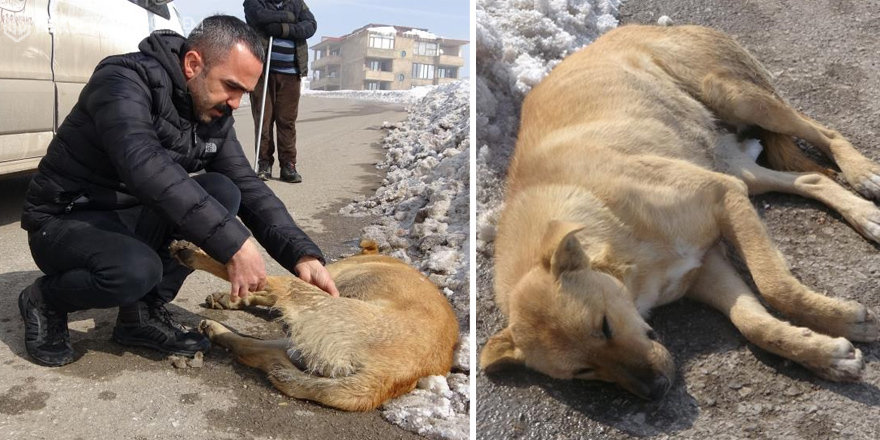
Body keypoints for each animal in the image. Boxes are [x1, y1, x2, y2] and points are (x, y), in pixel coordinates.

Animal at [173, 239, 460, 410]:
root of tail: (389, 378)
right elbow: (262, 296)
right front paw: (229, 299)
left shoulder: (322, 280)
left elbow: (262, 291)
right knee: (255, 349)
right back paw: (216, 331)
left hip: (307, 296)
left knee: (252, 278)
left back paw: (191, 254)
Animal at [482, 24, 880, 400]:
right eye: (583, 372)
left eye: (605, 325)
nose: (656, 391)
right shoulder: (705, 266)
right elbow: (753, 324)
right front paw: (825, 355)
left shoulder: (723, 196)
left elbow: (775, 286)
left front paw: (845, 321)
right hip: (735, 169)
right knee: (812, 179)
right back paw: (866, 215)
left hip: (736, 98)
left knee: (826, 132)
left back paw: (863, 173)